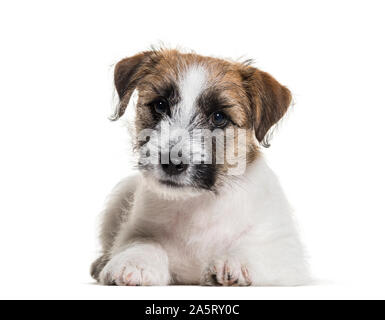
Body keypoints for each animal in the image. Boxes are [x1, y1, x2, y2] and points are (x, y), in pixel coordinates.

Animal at [90, 48, 308, 286]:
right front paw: (134, 262)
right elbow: (145, 242)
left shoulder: (287, 255)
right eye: (160, 105)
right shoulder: (136, 229)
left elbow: (258, 250)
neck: (196, 202)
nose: (172, 162)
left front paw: (234, 262)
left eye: (219, 117)